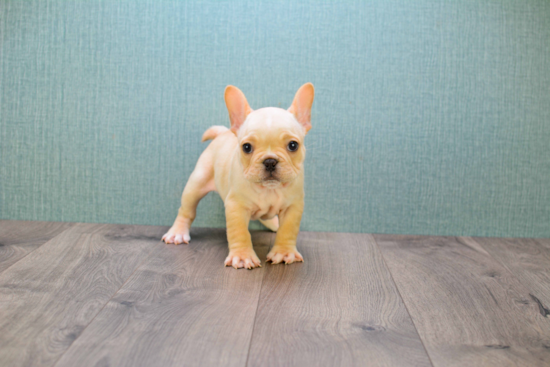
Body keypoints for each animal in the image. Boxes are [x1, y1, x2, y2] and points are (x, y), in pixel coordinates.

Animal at [162, 83, 314, 268]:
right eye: (246, 147)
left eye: (293, 145)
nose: (270, 161)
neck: (268, 190)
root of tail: (223, 133)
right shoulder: (236, 206)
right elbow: (240, 232)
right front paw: (242, 256)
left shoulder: (292, 207)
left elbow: (288, 230)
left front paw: (284, 252)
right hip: (196, 184)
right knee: (186, 211)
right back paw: (177, 232)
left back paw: (273, 223)